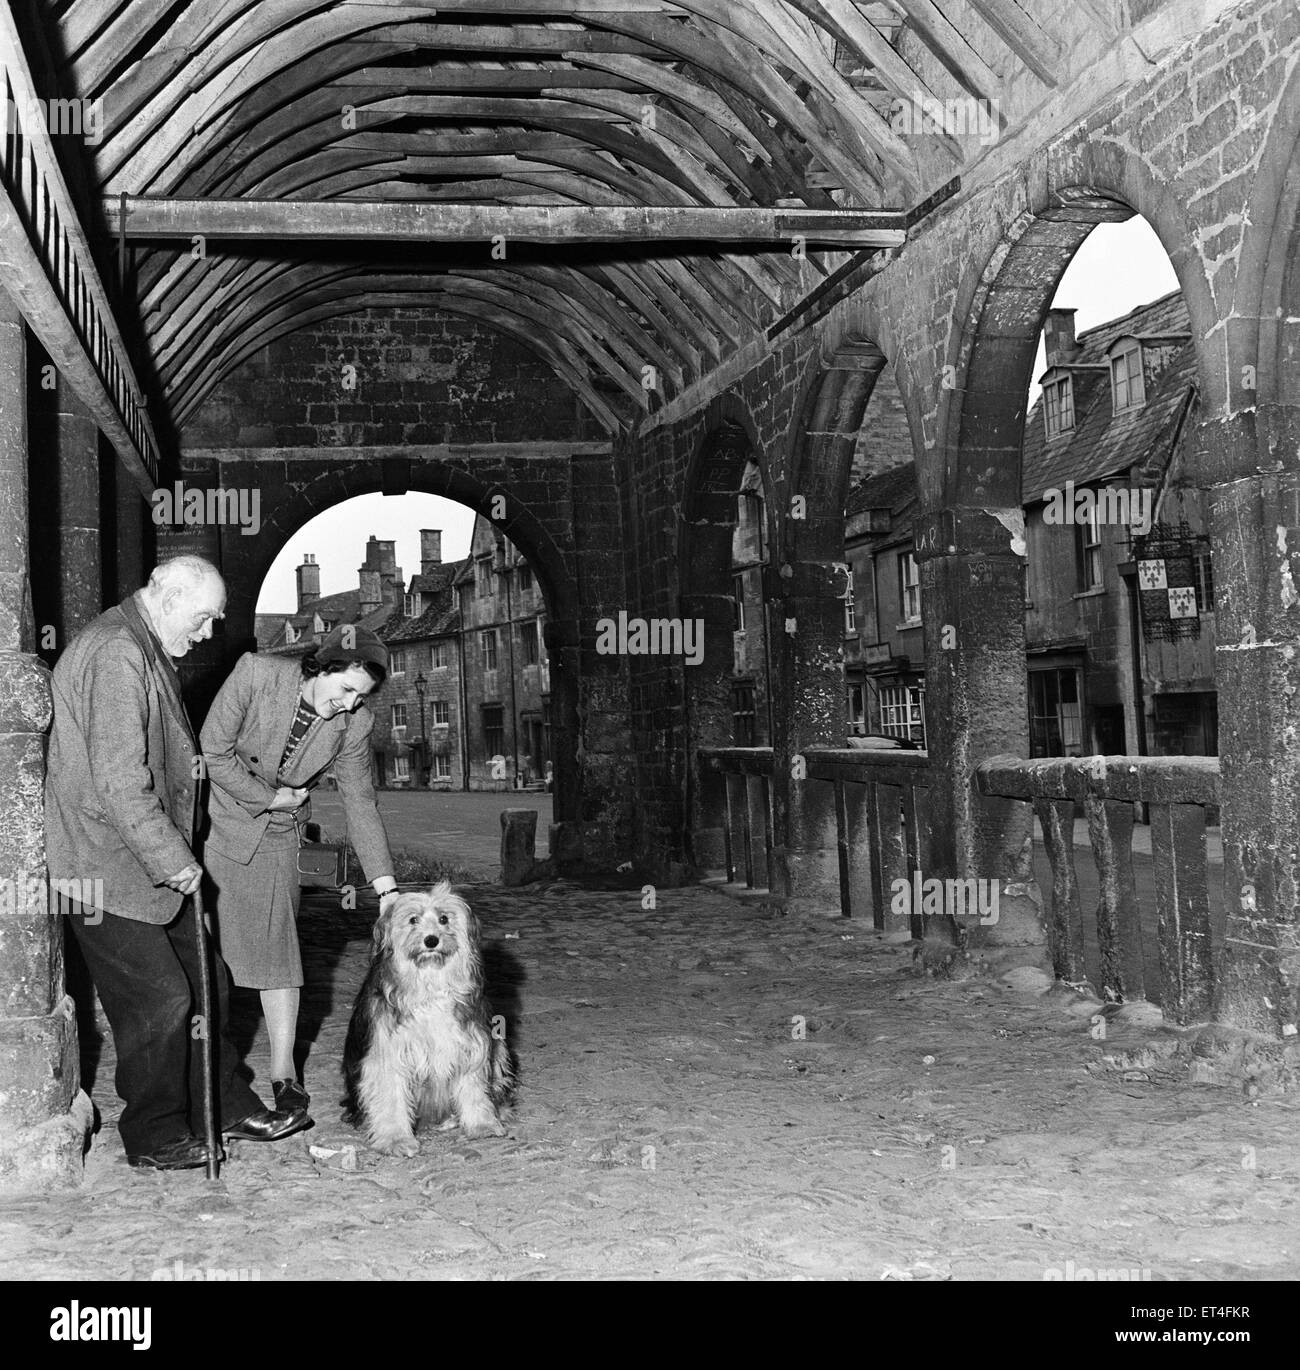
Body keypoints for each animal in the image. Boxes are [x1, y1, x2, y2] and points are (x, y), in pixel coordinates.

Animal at [342, 882, 515, 1150]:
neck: (430, 982)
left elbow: (474, 1090)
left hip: (499, 1049)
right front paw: (396, 1138)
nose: (431, 940)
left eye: (444, 919)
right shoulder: (388, 1053)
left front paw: (482, 1125)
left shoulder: (471, 1045)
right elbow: (391, 1096)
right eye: (413, 919)